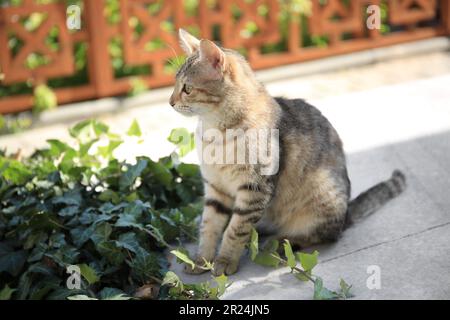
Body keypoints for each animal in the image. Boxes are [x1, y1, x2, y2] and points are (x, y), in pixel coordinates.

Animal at [169, 28, 408, 276]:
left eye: (187, 88)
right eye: (175, 84)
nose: (170, 101)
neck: (215, 132)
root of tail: (346, 214)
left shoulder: (254, 189)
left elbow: (235, 230)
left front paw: (225, 261)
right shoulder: (216, 188)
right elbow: (209, 227)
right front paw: (201, 260)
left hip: (321, 196)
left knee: (322, 236)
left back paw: (279, 243)